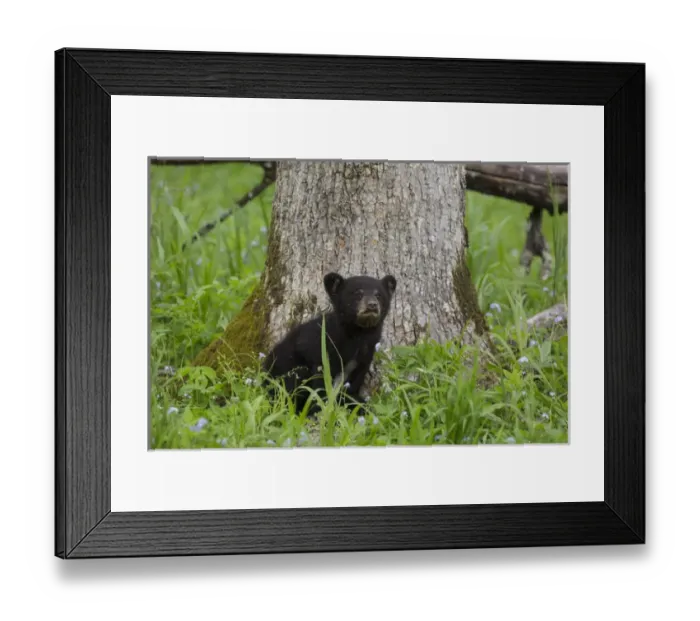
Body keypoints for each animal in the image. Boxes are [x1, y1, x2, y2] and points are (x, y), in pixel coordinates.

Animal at [262, 272, 397, 416]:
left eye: (379, 295)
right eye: (357, 294)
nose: (372, 305)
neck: (358, 334)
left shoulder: (365, 354)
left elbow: (354, 380)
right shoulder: (322, 347)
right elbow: (321, 379)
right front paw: (318, 408)